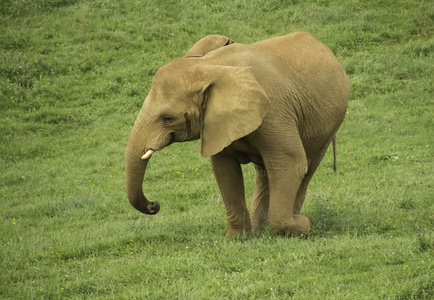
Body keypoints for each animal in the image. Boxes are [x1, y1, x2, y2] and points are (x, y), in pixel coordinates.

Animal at [124, 32, 350, 238]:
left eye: (167, 118)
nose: (154, 205)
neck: (208, 66)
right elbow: (225, 171)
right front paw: (237, 238)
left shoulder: (274, 112)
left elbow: (291, 161)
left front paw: (303, 226)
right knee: (267, 171)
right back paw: (259, 230)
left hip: (329, 123)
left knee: (306, 166)